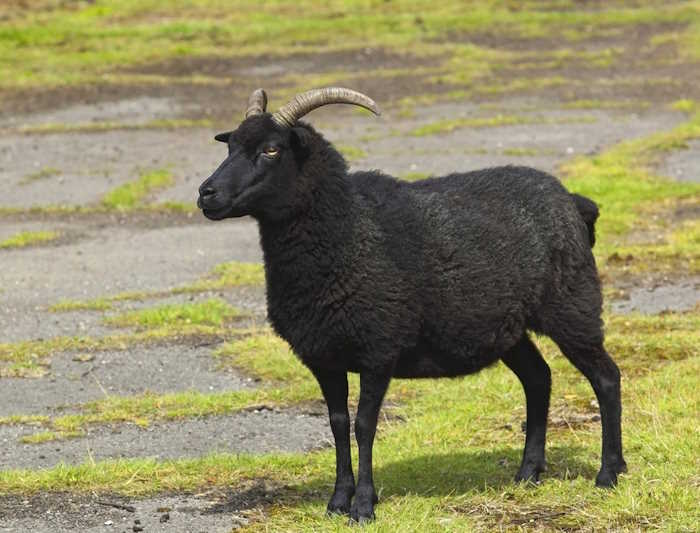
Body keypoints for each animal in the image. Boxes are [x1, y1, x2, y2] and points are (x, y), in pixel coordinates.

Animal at [197, 87, 626, 523]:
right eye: (230, 146)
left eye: (271, 149)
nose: (206, 193)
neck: (348, 230)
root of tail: (573, 200)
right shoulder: (324, 356)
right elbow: (337, 424)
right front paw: (338, 501)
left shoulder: (378, 349)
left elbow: (364, 425)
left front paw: (363, 506)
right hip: (508, 327)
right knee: (539, 378)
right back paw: (528, 473)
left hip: (573, 304)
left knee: (606, 377)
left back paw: (609, 473)